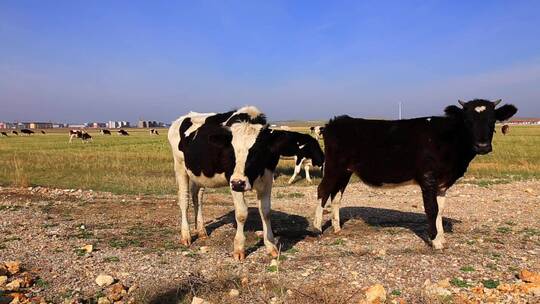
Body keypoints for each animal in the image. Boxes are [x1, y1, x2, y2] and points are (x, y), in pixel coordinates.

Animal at [167, 105, 322, 260]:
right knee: (184, 200)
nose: (238, 183)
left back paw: (201, 231)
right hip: (180, 166)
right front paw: (239, 248)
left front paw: (271, 246)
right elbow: (241, 214)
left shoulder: (267, 179)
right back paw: (186, 235)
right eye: (231, 151)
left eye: (257, 150)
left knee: (197, 197)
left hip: (198, 173)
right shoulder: (233, 180)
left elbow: (265, 212)